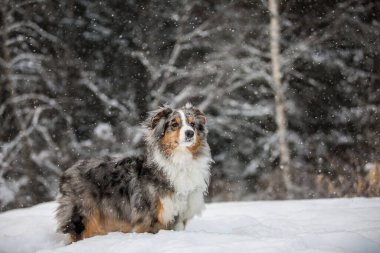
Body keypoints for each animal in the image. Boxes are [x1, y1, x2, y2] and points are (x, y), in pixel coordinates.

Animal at [55, 103, 212, 241]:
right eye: (174, 124)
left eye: (192, 124)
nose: (190, 133)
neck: (180, 161)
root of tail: (68, 170)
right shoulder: (148, 217)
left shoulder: (179, 217)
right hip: (83, 216)